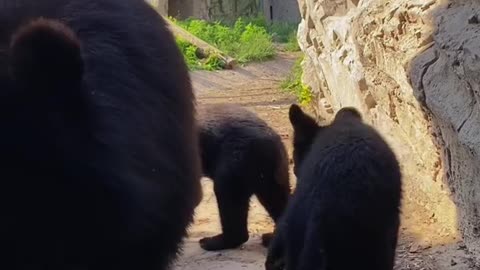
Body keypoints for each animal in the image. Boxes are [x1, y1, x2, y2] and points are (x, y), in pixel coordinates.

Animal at [197, 104, 290, 251]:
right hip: (273, 173)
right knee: (277, 199)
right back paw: (272, 238)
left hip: (237, 161)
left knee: (228, 197)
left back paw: (212, 241)